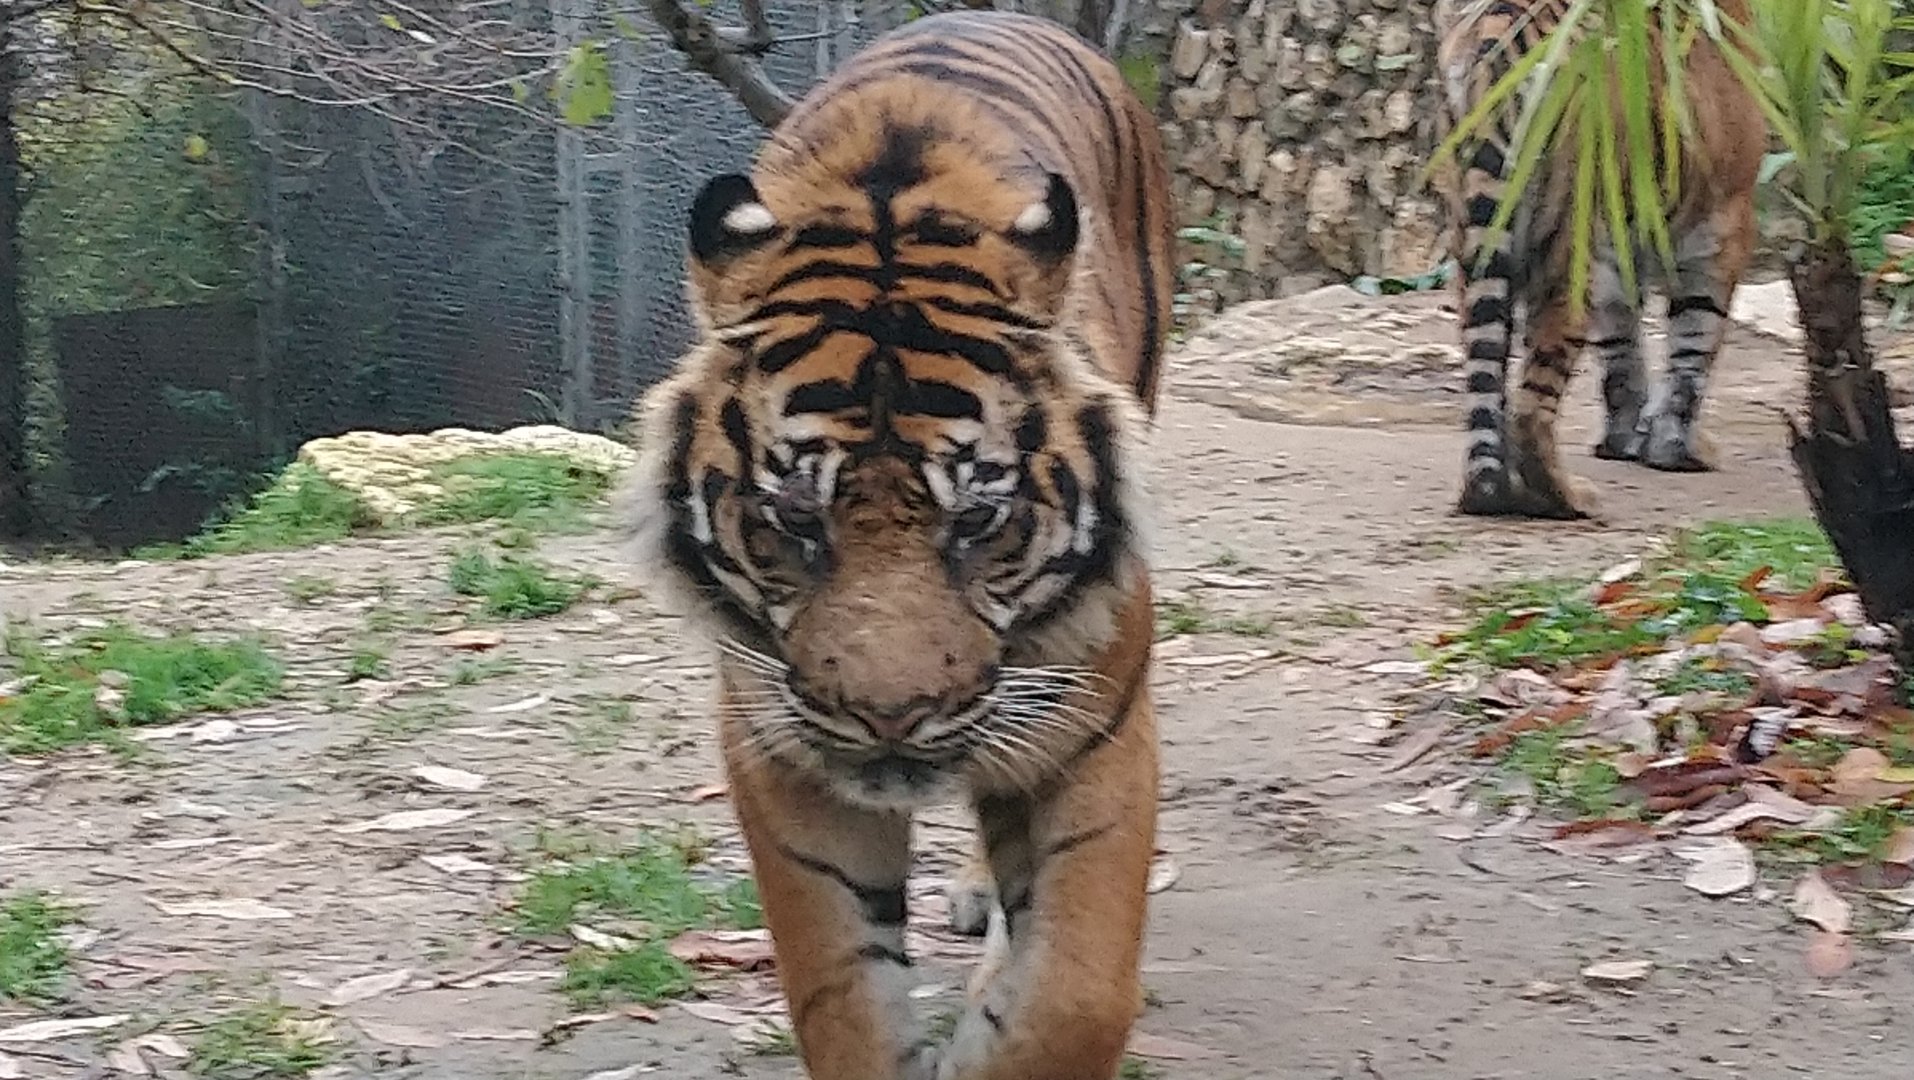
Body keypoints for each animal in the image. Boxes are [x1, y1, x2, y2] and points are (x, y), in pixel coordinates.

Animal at [620, 11, 1174, 1080]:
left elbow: (1077, 994)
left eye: (977, 521)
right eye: (797, 520)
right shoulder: (779, 743)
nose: (890, 718)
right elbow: (842, 996)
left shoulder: (1098, 726)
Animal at [1433, 0, 1767, 520]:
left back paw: (1487, 492)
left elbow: (1621, 350)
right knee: (1531, 408)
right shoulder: (1723, 225)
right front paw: (1676, 448)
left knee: (1484, 378)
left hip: (1473, 238)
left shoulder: (1620, 248)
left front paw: (1626, 440)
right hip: (1568, 248)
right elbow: (1693, 344)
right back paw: (1567, 498)